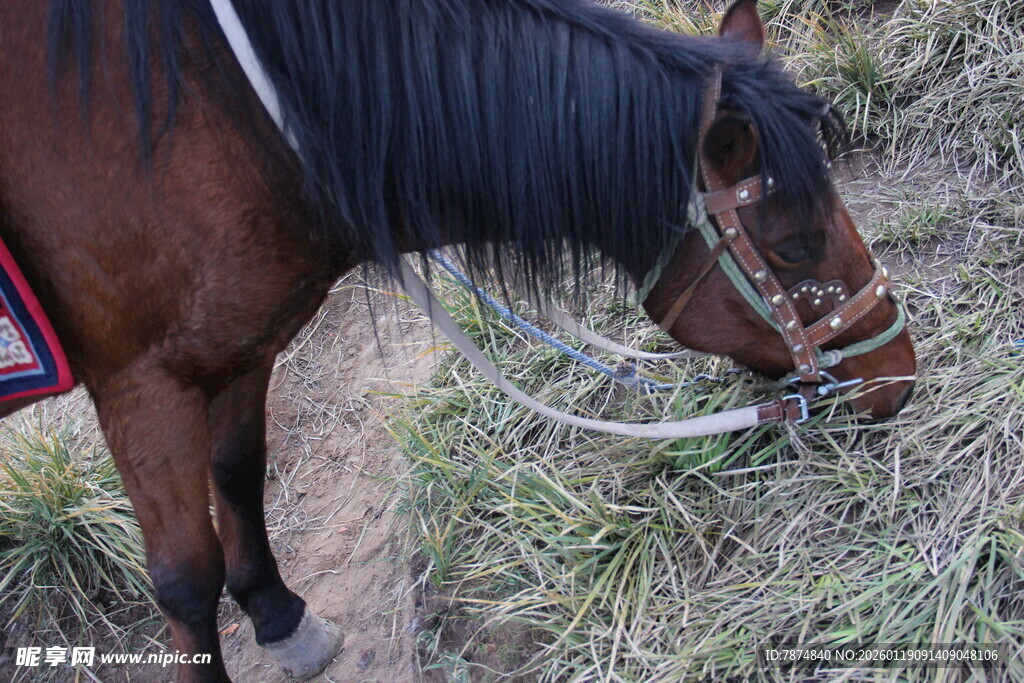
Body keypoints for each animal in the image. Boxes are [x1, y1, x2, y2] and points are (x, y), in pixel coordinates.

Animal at [0, 0, 915, 679]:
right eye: (793, 247)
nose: (898, 371)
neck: (231, 113)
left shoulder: (236, 345)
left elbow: (239, 471)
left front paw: (278, 614)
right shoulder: (141, 383)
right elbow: (185, 584)